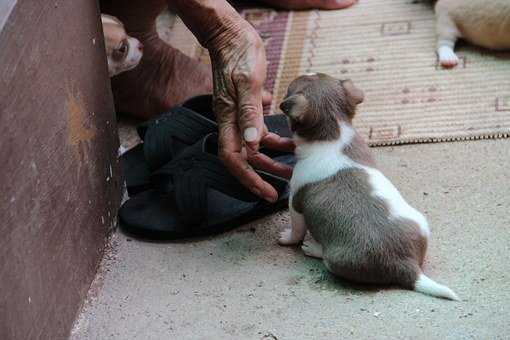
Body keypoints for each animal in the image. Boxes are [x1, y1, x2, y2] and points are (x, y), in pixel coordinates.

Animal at [276, 72, 460, 300]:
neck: (334, 135)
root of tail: (407, 266)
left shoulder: (295, 202)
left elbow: (296, 230)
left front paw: (287, 238)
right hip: (421, 222)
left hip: (334, 261)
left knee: (325, 257)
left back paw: (314, 248)